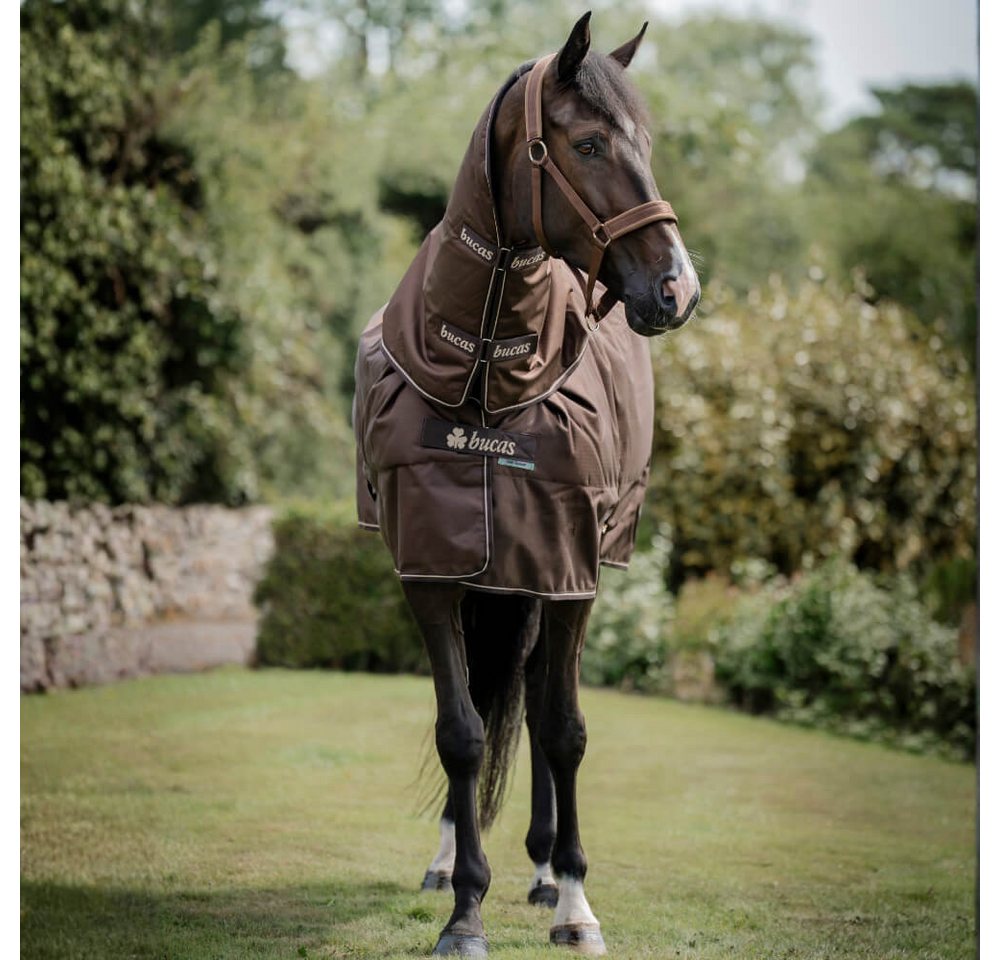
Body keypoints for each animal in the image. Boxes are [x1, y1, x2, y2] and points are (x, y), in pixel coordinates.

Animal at [353, 12, 700, 956]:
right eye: (587, 143)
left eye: (646, 143)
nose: (678, 288)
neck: (485, 379)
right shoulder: (432, 570)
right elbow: (462, 731)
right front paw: (464, 908)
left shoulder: (569, 570)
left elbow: (563, 729)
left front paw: (577, 900)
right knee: (491, 693)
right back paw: (451, 863)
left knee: (542, 702)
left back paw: (547, 871)